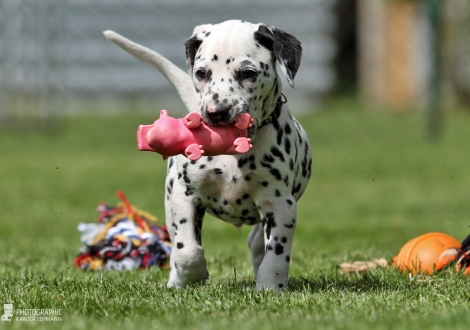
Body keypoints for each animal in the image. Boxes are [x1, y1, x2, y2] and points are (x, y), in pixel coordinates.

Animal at [105, 19, 314, 290]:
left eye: (248, 73)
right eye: (201, 73)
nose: (216, 112)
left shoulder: (281, 205)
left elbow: (276, 253)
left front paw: (270, 286)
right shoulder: (184, 197)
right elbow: (187, 250)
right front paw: (191, 276)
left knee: (257, 243)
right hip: (169, 203)